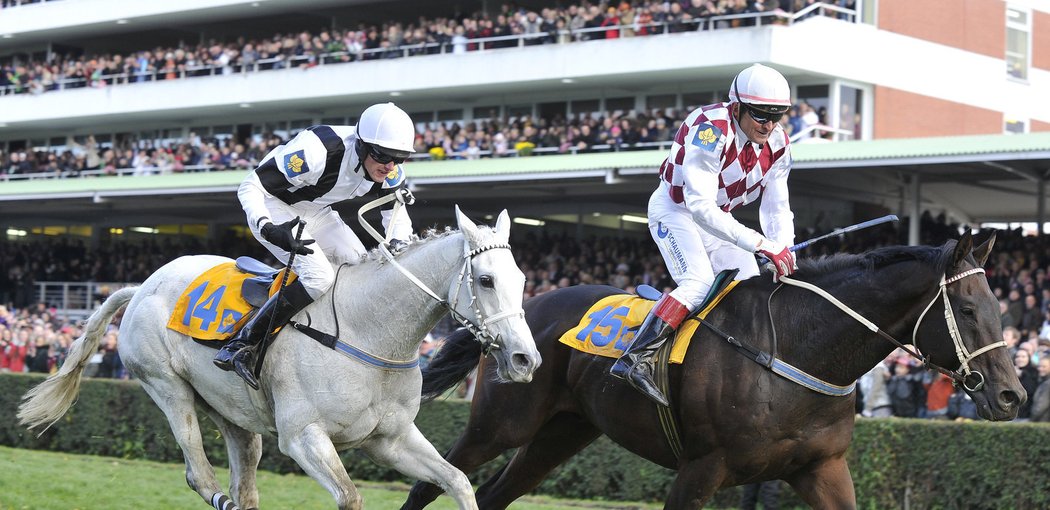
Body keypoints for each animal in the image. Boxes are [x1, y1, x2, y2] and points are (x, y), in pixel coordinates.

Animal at [18, 206, 541, 510]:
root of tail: (142, 284)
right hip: (168, 389)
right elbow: (350, 497)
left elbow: (457, 481)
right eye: (486, 280)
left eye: (522, 278)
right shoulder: (304, 436)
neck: (371, 332)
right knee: (199, 474)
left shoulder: (389, 440)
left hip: (233, 412)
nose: (525, 359)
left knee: (244, 476)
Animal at [403, 232, 1024, 507]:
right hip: (502, 422)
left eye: (1000, 309)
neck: (794, 352)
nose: (1012, 396)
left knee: (496, 493)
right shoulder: (703, 468)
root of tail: (518, 310)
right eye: (969, 311)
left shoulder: (821, 468)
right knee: (438, 478)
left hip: (564, 430)